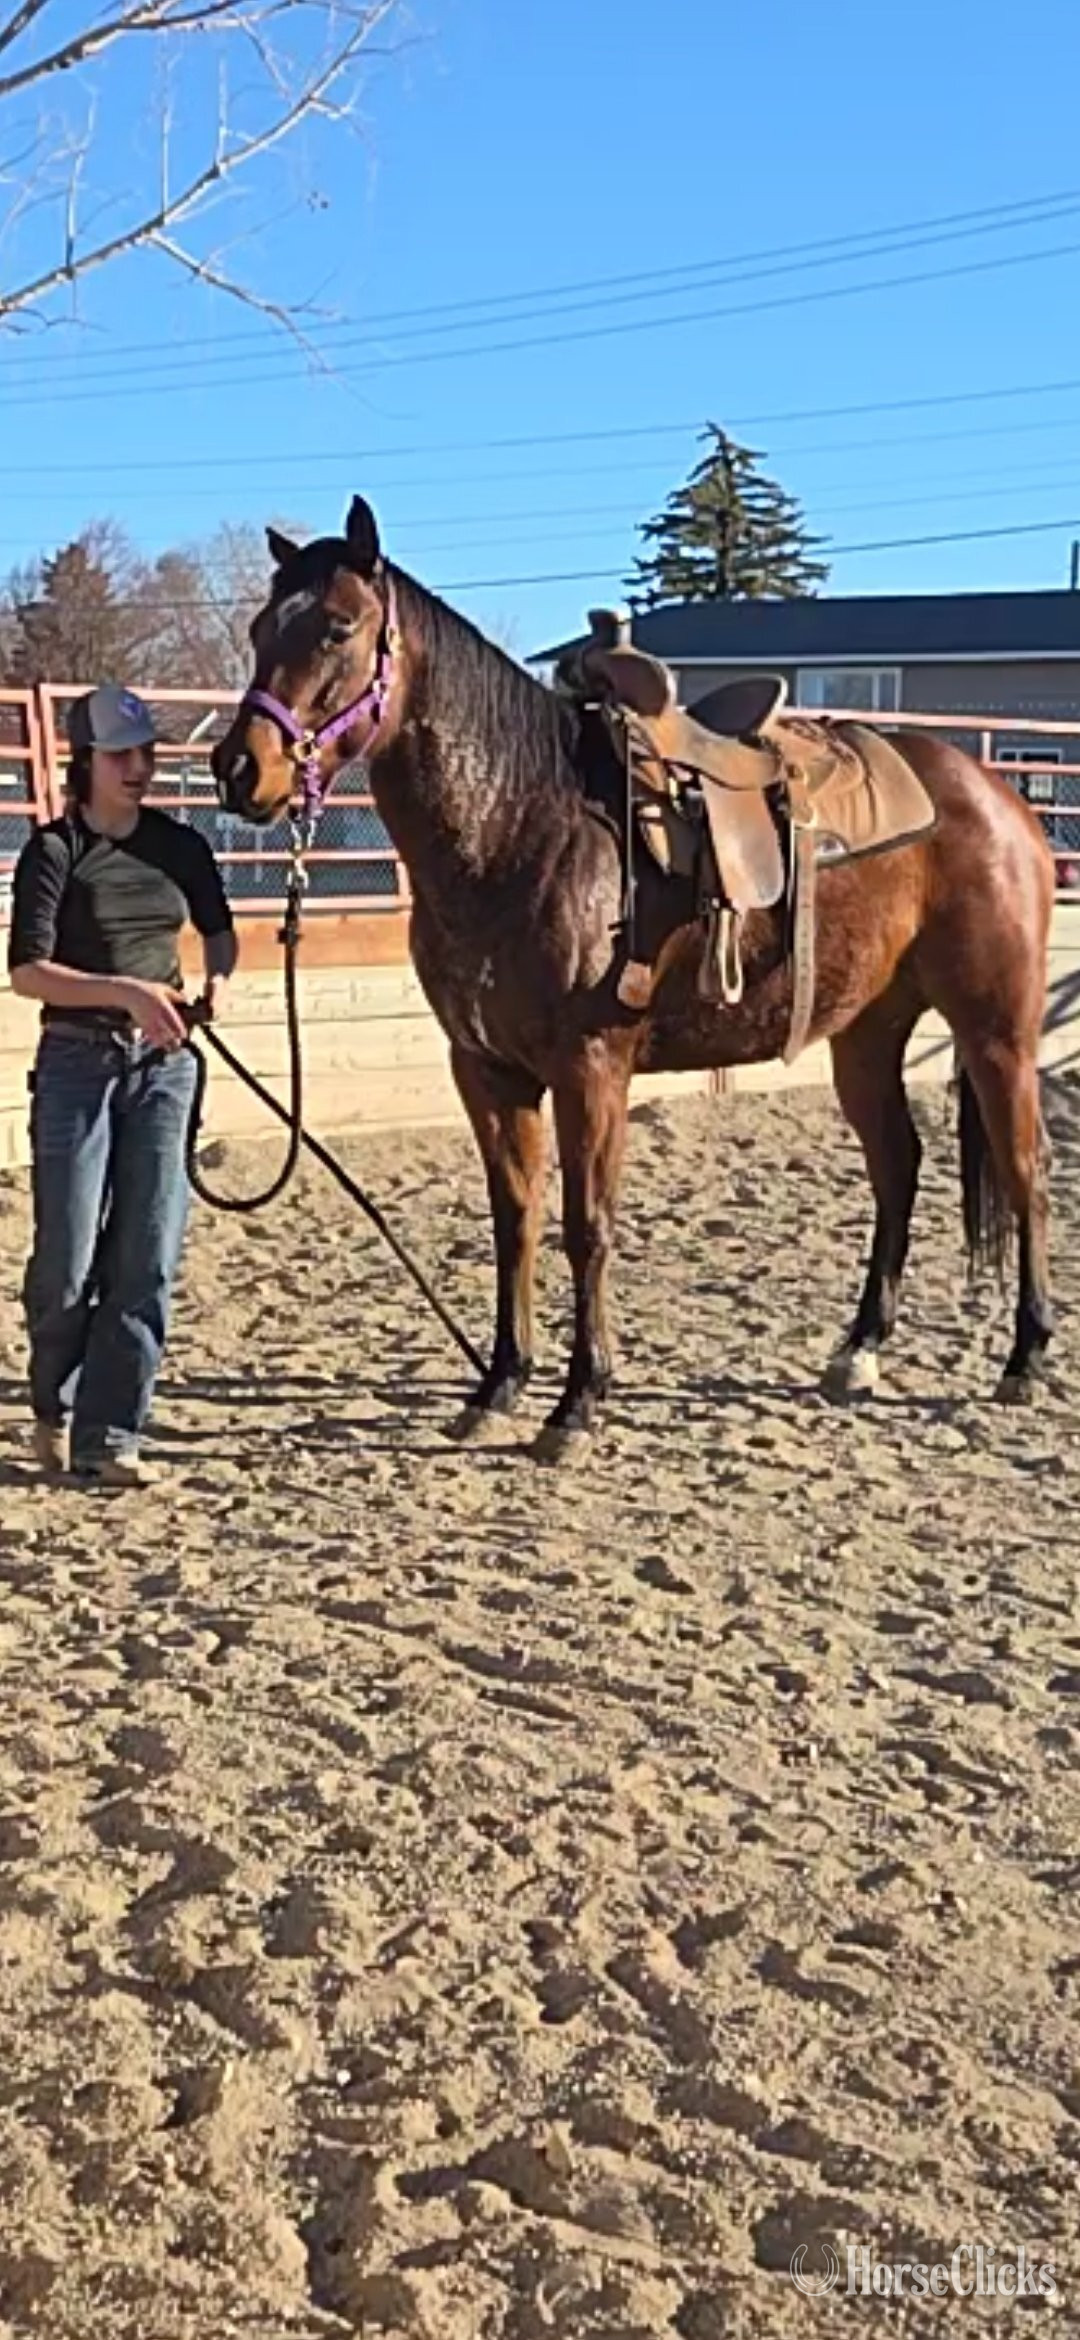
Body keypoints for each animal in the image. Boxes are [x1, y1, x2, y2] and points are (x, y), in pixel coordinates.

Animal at [211, 495, 1055, 1458]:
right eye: (258, 628)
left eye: (337, 628)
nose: (239, 770)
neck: (524, 825)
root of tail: (997, 795)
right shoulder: (488, 1071)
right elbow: (515, 1221)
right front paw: (500, 1384)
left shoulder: (592, 1072)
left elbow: (588, 1227)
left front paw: (579, 1401)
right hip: (867, 1034)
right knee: (899, 1167)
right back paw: (860, 1350)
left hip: (997, 1031)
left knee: (1026, 1167)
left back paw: (1025, 1358)